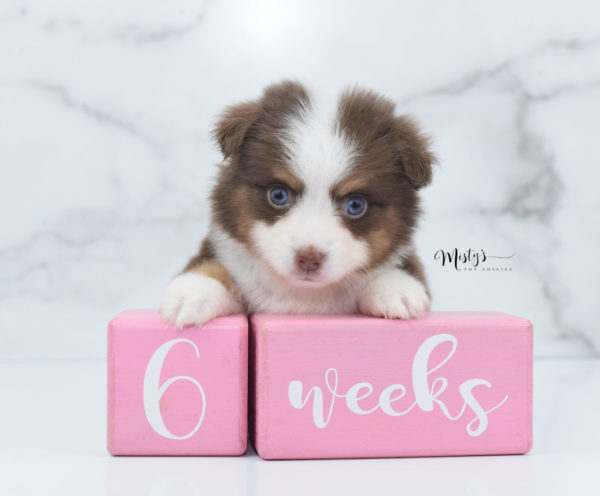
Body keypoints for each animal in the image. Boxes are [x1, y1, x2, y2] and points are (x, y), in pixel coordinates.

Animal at [159, 80, 436, 330]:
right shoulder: (226, 254)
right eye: (279, 195)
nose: (309, 258)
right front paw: (191, 293)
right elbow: (210, 267)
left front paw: (397, 289)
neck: (302, 294)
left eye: (356, 204)